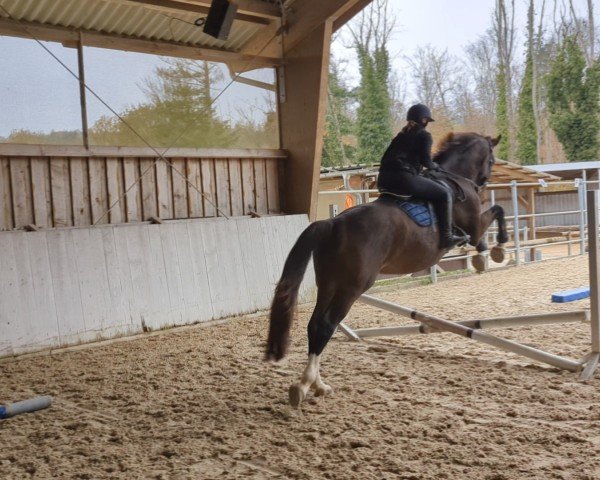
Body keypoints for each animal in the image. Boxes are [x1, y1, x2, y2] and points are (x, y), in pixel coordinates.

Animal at [266, 133, 506, 406]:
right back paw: (304, 385)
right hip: (352, 287)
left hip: (328, 283)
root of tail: (333, 223)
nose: (482, 184)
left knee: (315, 325)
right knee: (326, 325)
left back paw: (317, 385)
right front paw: (495, 249)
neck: (455, 177)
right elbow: (497, 213)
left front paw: (485, 252)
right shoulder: (475, 227)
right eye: (491, 160)